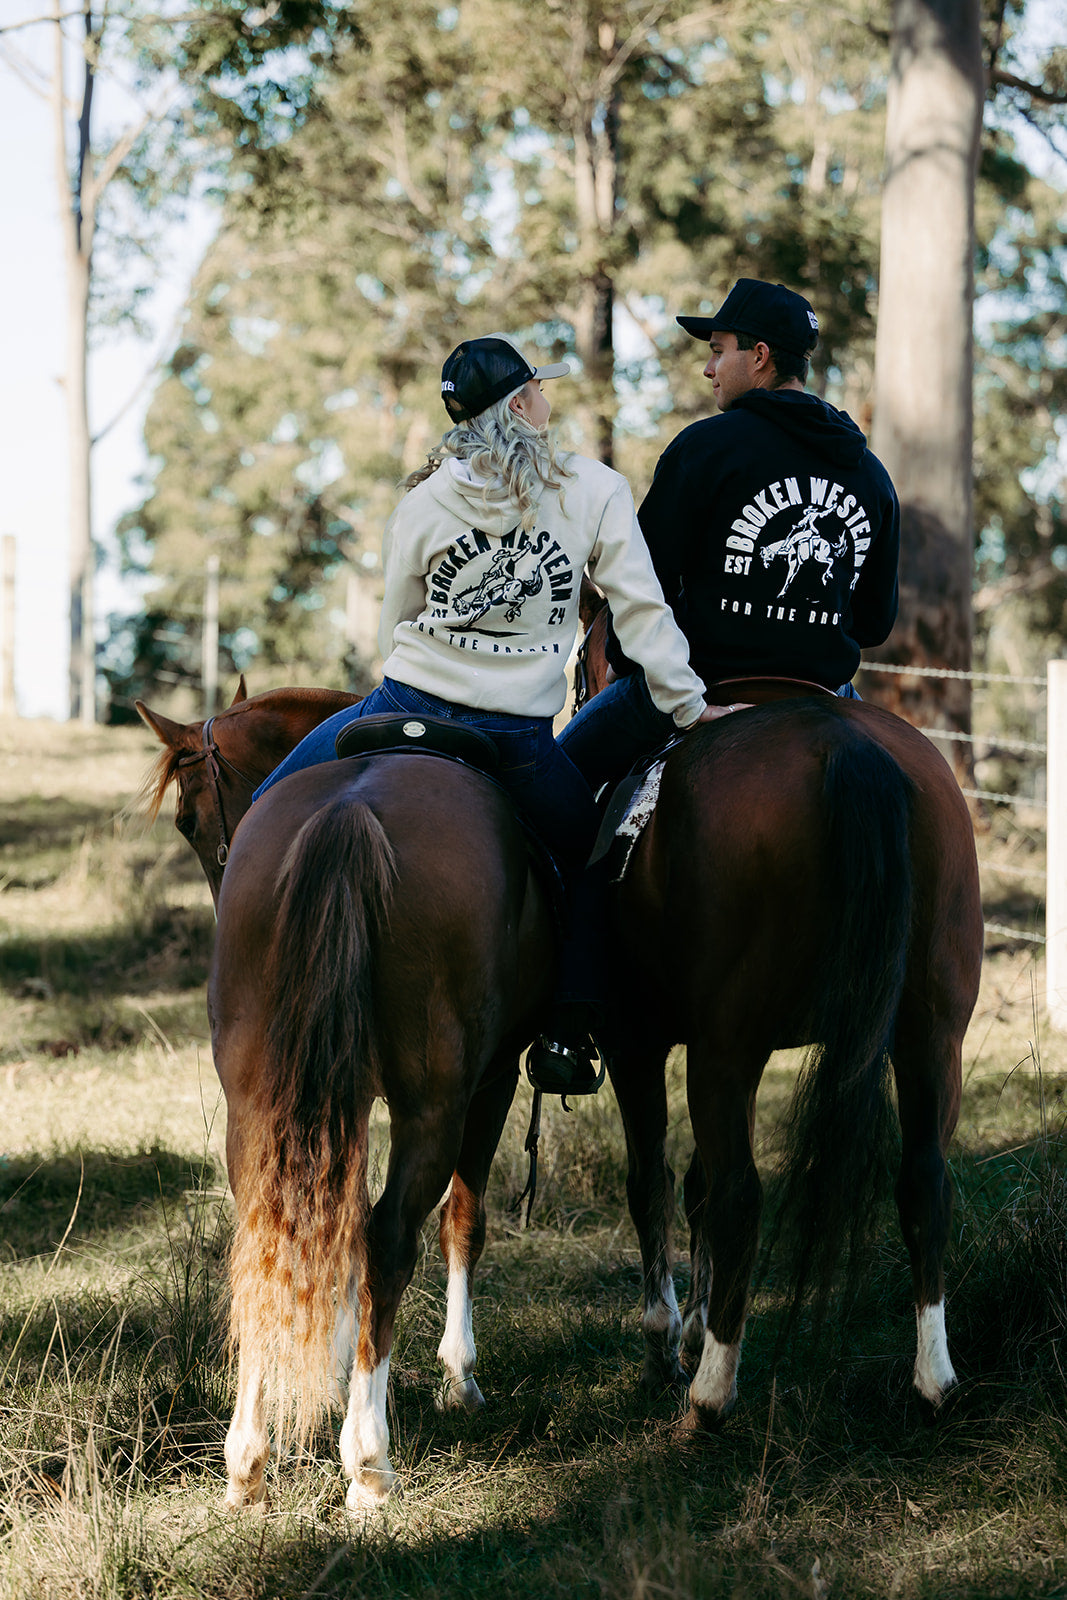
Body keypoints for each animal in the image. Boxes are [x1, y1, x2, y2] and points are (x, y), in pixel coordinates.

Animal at [137, 681, 556, 1504]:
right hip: (435, 1103)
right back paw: (368, 1462)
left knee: (266, 1238)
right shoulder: (488, 1080)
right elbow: (462, 1220)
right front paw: (456, 1377)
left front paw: (326, 1370)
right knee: (390, 1237)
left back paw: (248, 1460)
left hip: (258, 1104)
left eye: (187, 821)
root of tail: (353, 808)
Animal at [575, 592, 985, 1440]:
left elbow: (652, 1181)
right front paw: (694, 1325)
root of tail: (844, 745)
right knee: (924, 1180)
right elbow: (690, 1183)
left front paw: (668, 1340)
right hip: (931, 1034)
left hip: (727, 1049)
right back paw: (934, 1381)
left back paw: (709, 1397)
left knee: (739, 1194)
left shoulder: (639, 1043)